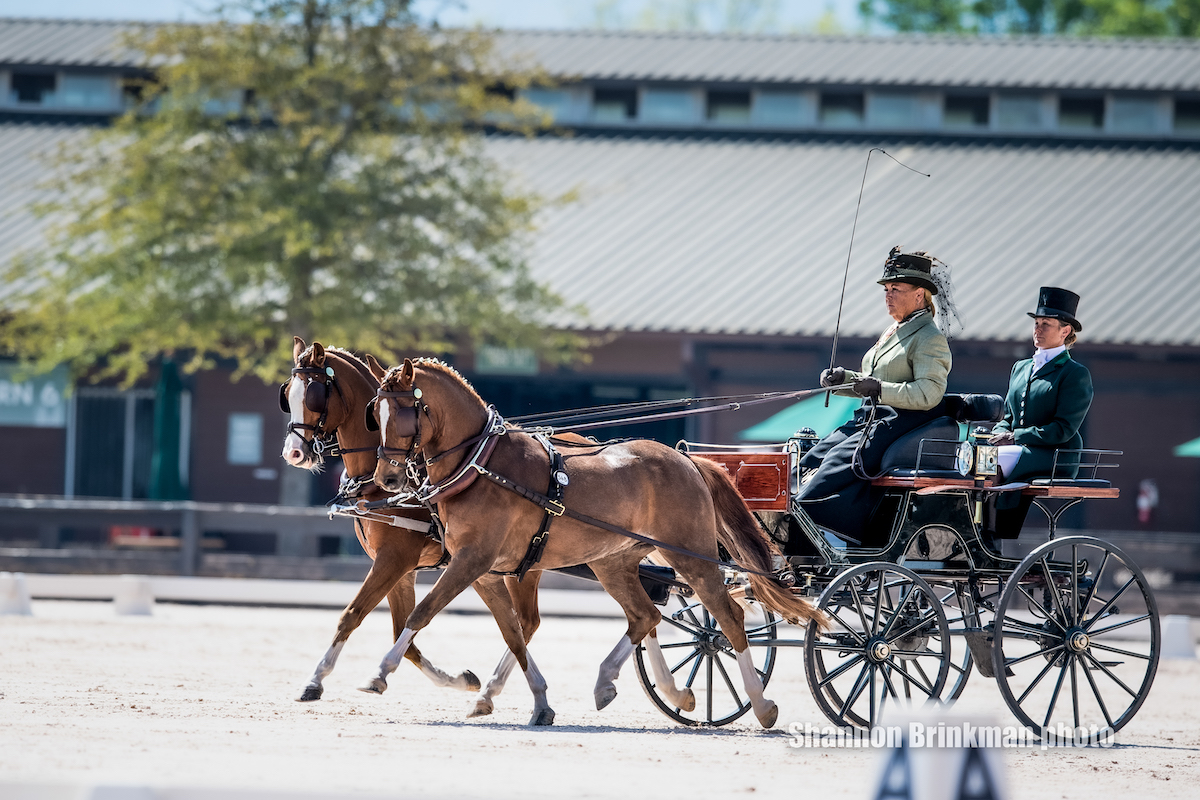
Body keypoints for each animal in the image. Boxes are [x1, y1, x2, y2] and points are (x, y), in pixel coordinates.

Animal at [360, 359, 825, 729]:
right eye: (373, 415)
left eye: (401, 413)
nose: (386, 479)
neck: (481, 464)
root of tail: (687, 459)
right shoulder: (488, 569)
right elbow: (512, 630)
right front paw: (509, 697)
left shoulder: (472, 560)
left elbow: (421, 613)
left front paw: (380, 671)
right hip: (613, 562)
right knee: (645, 615)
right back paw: (625, 685)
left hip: (691, 556)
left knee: (727, 618)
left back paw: (761, 705)